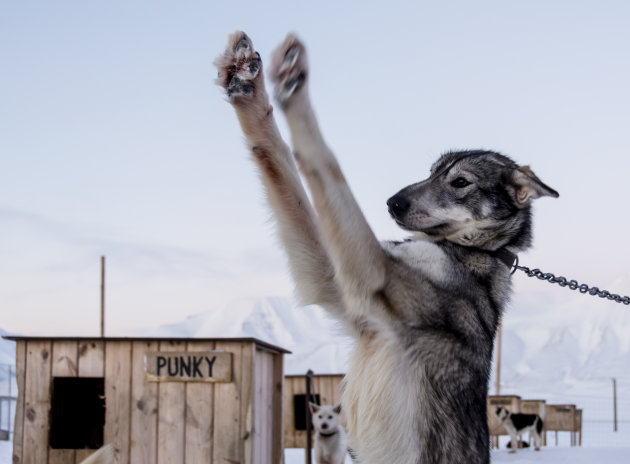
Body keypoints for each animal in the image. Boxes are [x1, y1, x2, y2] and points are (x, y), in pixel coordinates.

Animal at [216, 32, 556, 464]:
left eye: (461, 182)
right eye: (430, 172)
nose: (393, 203)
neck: (468, 252)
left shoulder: (372, 274)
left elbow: (325, 160)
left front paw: (295, 86)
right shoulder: (335, 281)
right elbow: (279, 155)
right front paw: (249, 85)